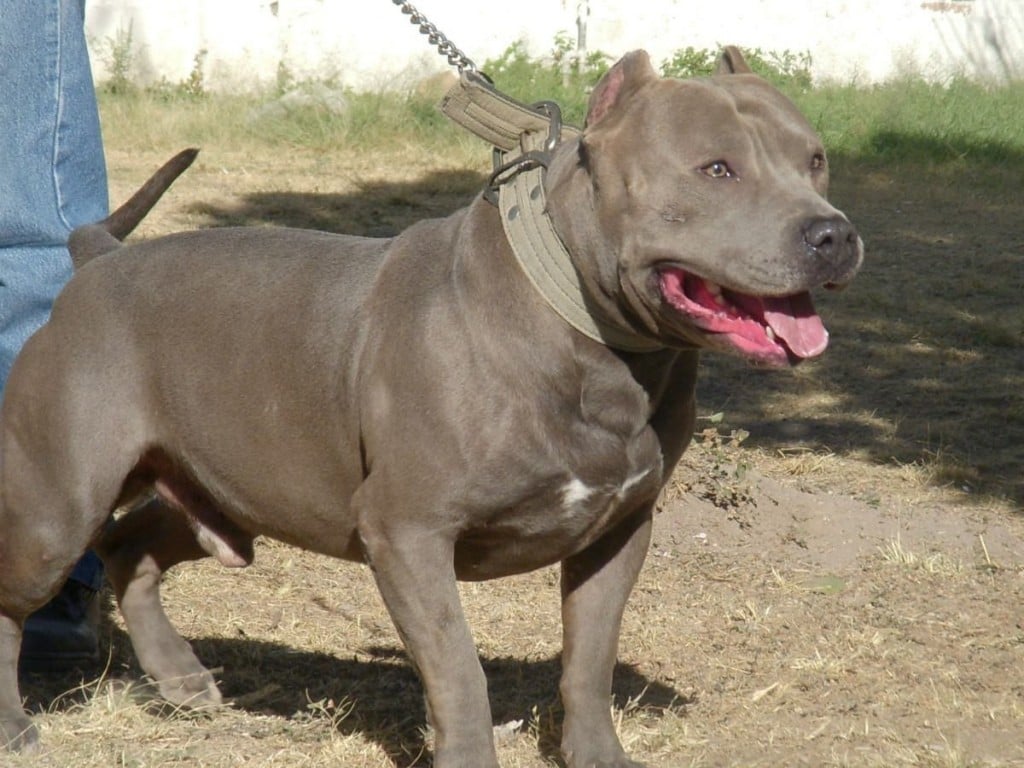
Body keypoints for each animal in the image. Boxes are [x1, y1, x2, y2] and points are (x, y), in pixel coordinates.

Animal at [0, 49, 864, 768]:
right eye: (717, 169)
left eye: (816, 159)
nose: (832, 233)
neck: (591, 337)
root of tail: (96, 262)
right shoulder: (409, 534)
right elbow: (459, 672)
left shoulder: (619, 530)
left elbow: (588, 663)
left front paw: (596, 755)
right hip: (56, 508)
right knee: (26, 590)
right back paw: (17, 725)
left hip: (234, 489)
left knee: (132, 546)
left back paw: (180, 677)